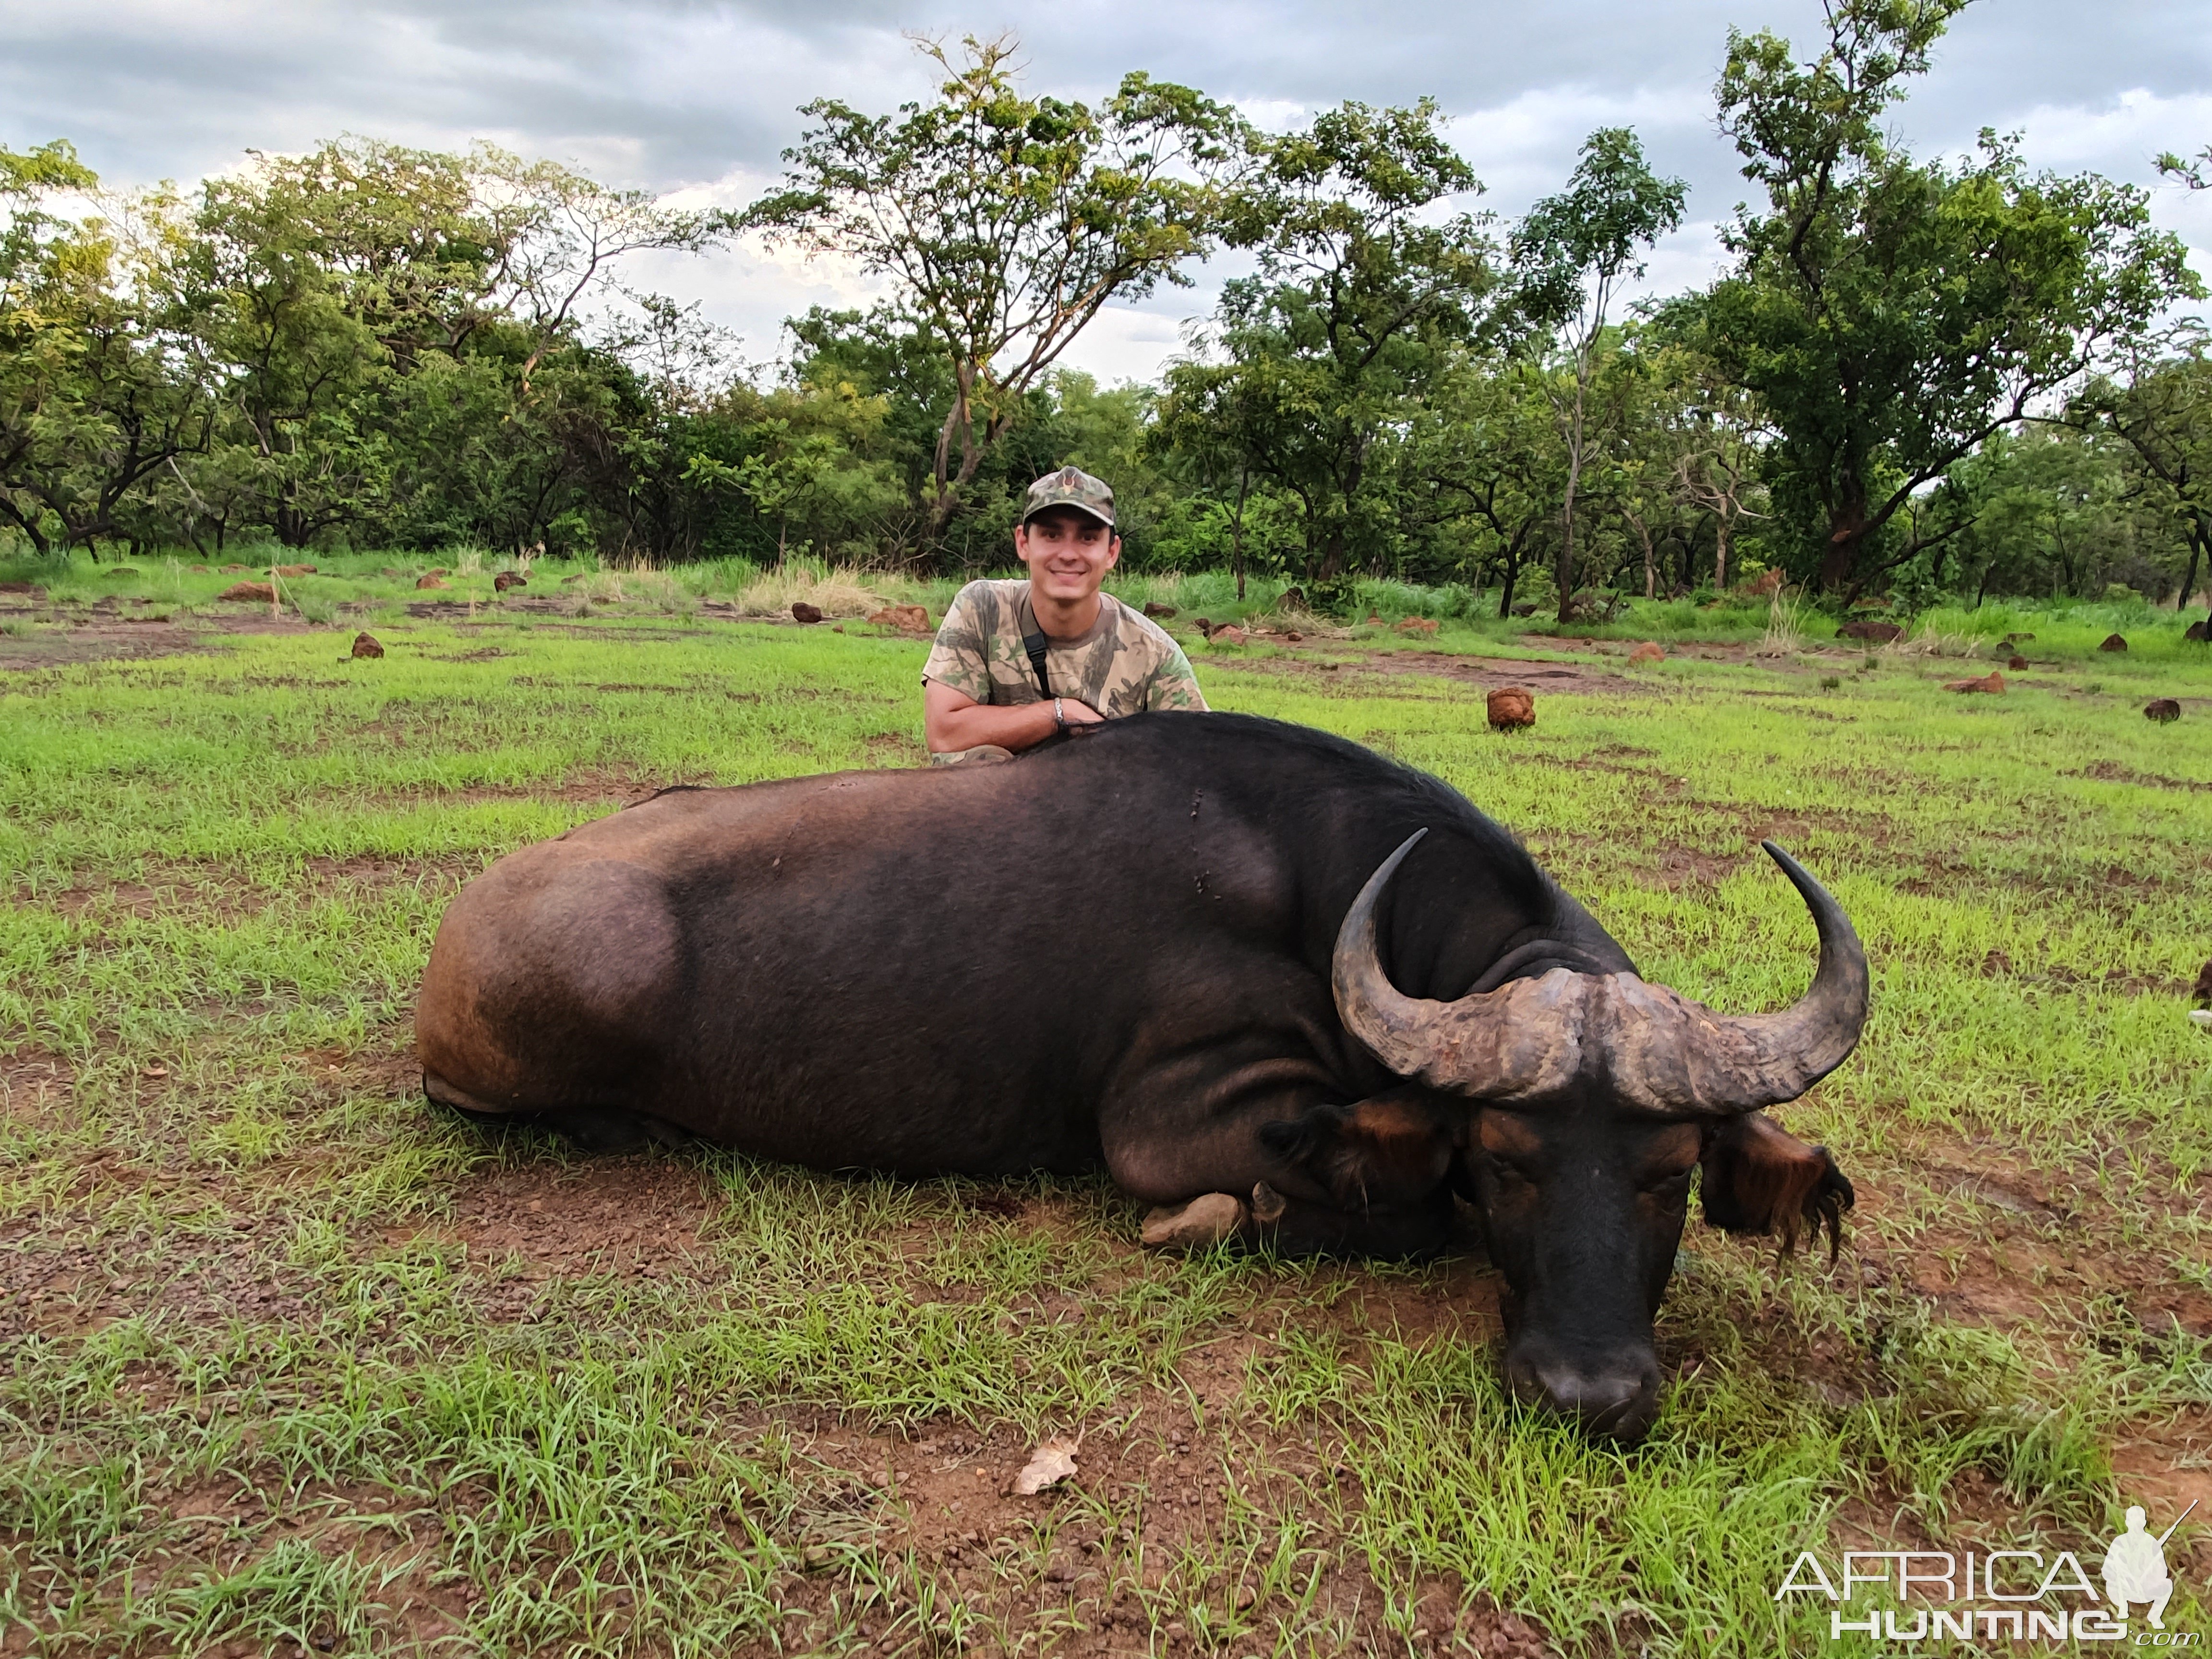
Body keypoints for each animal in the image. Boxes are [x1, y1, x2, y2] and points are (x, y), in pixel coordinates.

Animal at [418, 716, 1867, 1442]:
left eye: (1669, 1173)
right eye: (1502, 1160)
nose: (1591, 1395)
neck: (1339, 884)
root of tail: (469, 916)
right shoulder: (1169, 1125)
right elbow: (1393, 1213)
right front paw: (1227, 1217)